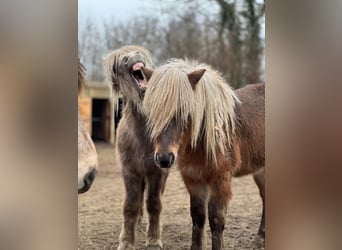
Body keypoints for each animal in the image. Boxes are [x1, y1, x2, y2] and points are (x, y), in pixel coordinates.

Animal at [103, 45, 170, 250]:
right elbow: (130, 205)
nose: (132, 57)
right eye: (120, 62)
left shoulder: (157, 172)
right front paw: (126, 241)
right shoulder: (130, 170)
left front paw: (154, 239)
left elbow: (154, 203)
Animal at [142, 59, 264, 249]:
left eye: (185, 111)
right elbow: (198, 217)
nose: (164, 158)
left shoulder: (221, 179)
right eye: (152, 112)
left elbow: (216, 220)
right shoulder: (193, 178)